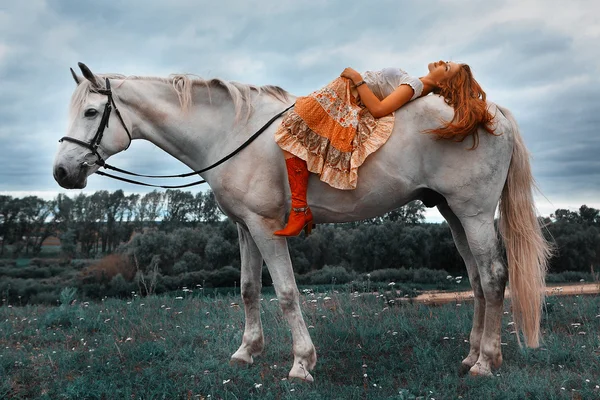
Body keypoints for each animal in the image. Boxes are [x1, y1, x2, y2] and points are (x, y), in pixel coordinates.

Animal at [54, 62, 552, 382]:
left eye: (92, 112)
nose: (62, 172)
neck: (230, 133)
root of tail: (491, 112)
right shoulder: (244, 227)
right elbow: (248, 289)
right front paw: (246, 352)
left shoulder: (265, 227)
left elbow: (288, 293)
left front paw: (301, 363)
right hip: (453, 214)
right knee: (476, 280)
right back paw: (470, 357)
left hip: (473, 212)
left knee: (493, 276)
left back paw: (487, 362)